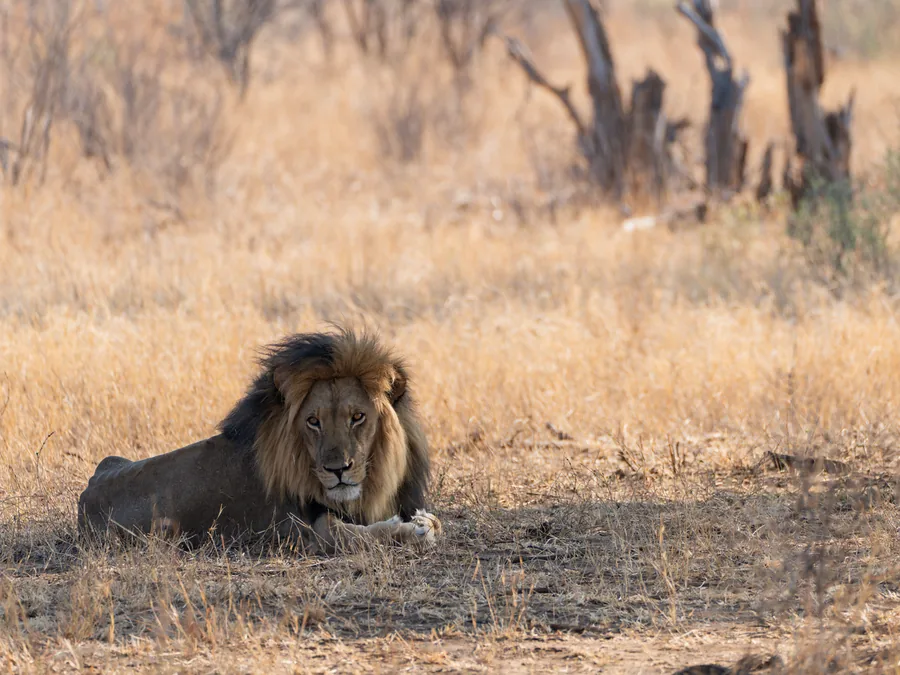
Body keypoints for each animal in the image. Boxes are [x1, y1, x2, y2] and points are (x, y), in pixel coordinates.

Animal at [77, 328, 441, 554]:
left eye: (357, 417)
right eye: (313, 421)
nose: (337, 469)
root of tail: (85, 497)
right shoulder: (298, 532)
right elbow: (344, 533)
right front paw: (412, 530)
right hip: (164, 530)